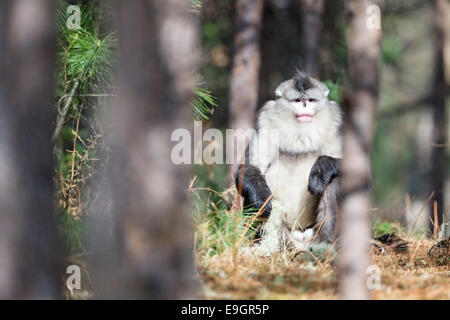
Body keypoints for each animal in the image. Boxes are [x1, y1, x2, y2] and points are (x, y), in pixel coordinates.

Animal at [234, 71, 342, 251]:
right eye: (298, 100)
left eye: (310, 100)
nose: (304, 106)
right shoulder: (265, 123)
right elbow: (248, 170)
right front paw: (262, 200)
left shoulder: (334, 127)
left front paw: (321, 171)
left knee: (334, 181)